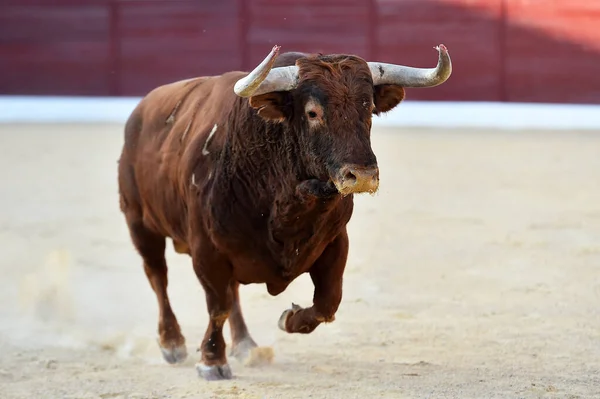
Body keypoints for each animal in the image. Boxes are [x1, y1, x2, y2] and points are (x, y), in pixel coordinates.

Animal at [117, 44, 450, 382]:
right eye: (312, 113)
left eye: (368, 108)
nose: (362, 175)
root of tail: (140, 111)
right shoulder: (207, 251)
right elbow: (217, 306)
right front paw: (211, 361)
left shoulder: (335, 242)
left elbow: (328, 302)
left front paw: (289, 318)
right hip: (139, 223)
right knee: (159, 276)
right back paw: (172, 343)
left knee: (230, 291)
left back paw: (246, 345)